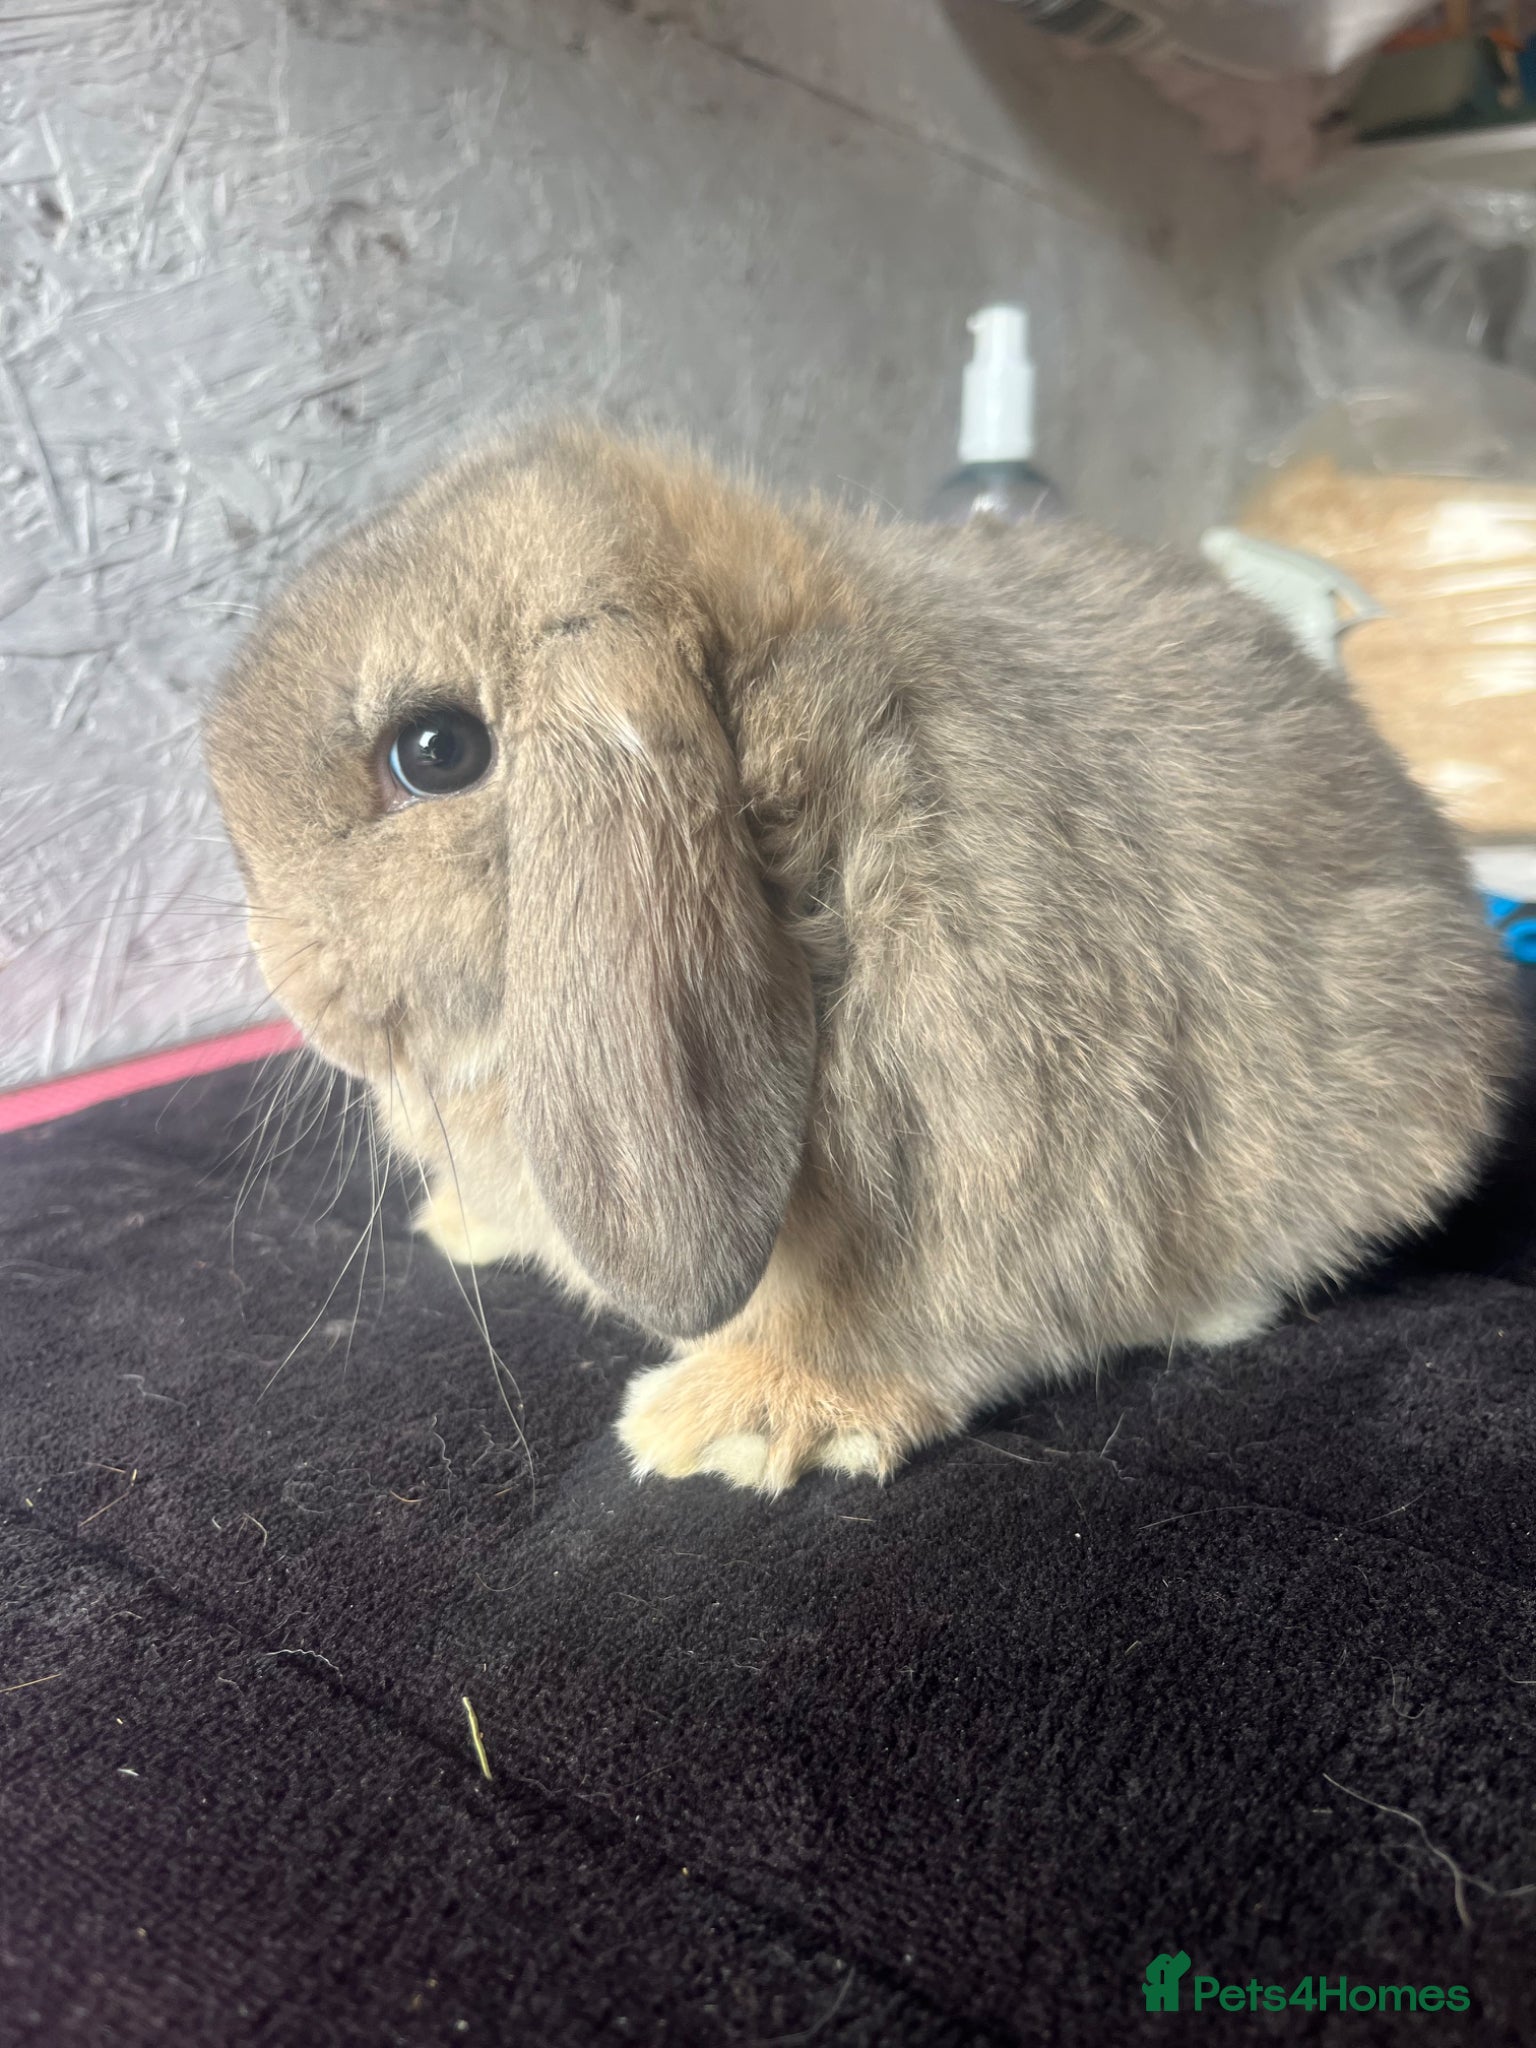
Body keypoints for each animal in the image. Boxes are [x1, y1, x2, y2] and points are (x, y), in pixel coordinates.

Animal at [204, 420, 1519, 1494]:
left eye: (437, 750)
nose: (286, 975)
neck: (808, 837)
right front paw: (461, 1222)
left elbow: (883, 1328)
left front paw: (730, 1424)